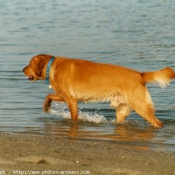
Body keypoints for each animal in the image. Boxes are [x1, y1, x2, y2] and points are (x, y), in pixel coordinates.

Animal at [22, 54, 175, 128]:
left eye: (29, 63)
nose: (22, 69)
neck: (51, 67)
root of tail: (140, 75)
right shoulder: (66, 96)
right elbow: (49, 95)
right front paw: (46, 106)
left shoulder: (70, 99)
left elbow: (72, 115)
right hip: (122, 110)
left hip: (141, 106)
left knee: (158, 123)